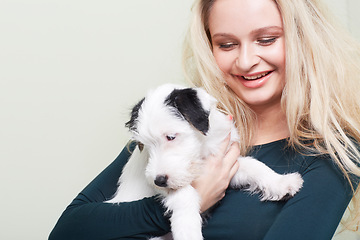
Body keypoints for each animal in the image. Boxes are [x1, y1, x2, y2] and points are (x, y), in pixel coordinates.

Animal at [105, 83, 304, 239]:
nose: (159, 180)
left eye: (171, 137)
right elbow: (185, 194)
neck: (200, 152)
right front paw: (188, 232)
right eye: (144, 145)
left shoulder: (228, 166)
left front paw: (281, 182)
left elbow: (253, 165)